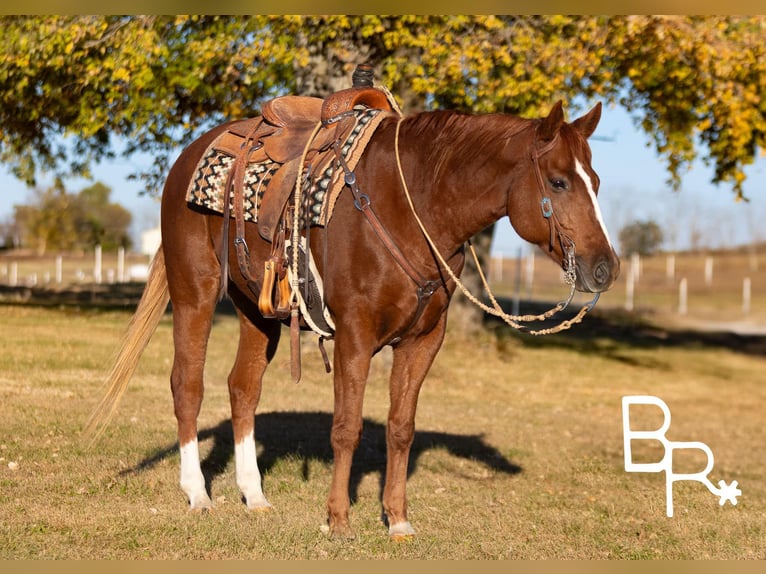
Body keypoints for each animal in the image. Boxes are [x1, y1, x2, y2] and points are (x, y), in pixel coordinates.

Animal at [86, 95, 620, 540]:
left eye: (595, 182)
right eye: (558, 182)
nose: (604, 268)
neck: (411, 204)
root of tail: (187, 158)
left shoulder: (423, 341)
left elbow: (400, 428)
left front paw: (397, 520)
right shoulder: (355, 335)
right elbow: (347, 427)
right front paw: (338, 520)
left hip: (255, 310)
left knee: (243, 389)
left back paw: (254, 495)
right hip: (194, 293)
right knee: (188, 386)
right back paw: (198, 494)